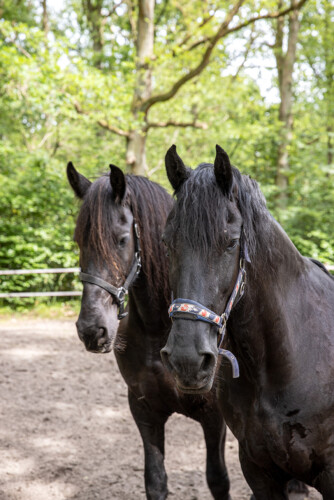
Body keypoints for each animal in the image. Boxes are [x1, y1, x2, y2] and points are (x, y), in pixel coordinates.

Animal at [66, 164, 231, 500]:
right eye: (78, 241)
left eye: (121, 239)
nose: (91, 330)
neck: (160, 329)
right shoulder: (144, 411)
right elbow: (155, 482)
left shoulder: (214, 417)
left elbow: (218, 479)